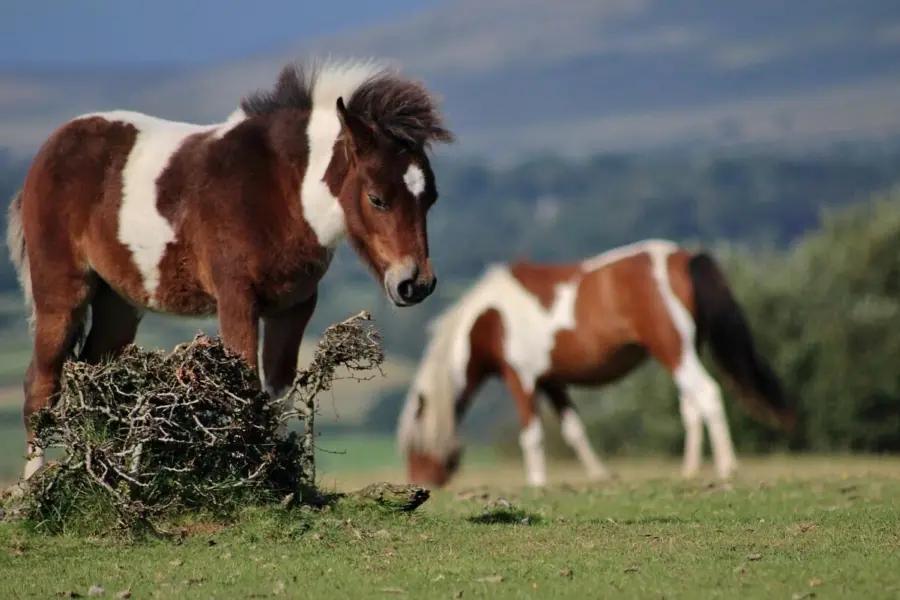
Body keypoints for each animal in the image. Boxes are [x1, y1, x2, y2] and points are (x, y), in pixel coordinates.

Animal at [5, 57, 455, 482]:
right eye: (377, 198)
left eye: (431, 198)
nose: (416, 284)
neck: (280, 191)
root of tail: (49, 150)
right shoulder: (237, 300)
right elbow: (246, 388)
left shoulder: (293, 307)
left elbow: (277, 394)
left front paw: (281, 478)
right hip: (61, 293)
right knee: (42, 385)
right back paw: (34, 486)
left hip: (119, 302)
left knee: (96, 377)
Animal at [397, 239, 797, 488]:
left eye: (414, 445)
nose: (420, 482)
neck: (490, 318)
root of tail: (684, 259)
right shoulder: (552, 381)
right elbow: (574, 430)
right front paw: (600, 476)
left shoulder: (520, 378)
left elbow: (532, 435)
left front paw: (537, 483)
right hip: (683, 353)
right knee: (690, 405)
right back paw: (690, 470)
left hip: (674, 350)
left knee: (708, 394)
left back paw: (727, 467)